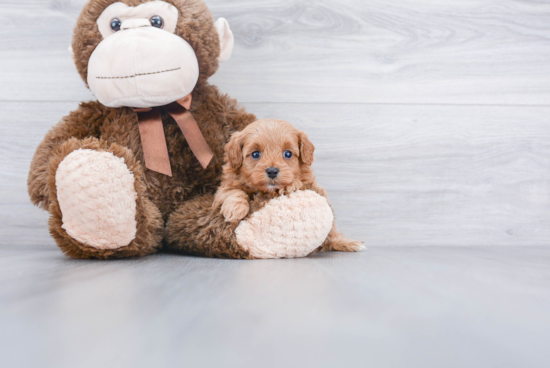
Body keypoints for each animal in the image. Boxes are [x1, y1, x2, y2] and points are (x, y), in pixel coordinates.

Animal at [213, 118, 364, 253]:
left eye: (287, 154)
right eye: (255, 154)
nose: (272, 171)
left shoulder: (309, 182)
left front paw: (288, 185)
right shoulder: (223, 188)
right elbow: (235, 191)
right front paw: (235, 209)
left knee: (332, 234)